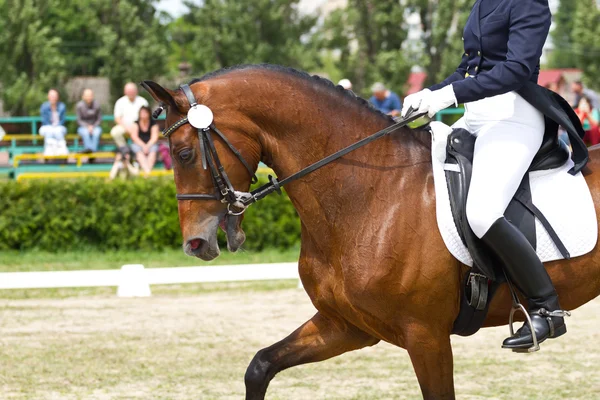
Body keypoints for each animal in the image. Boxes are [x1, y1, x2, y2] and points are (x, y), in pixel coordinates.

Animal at [142, 64, 600, 398]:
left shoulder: (426, 337)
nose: (195, 243)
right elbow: (260, 366)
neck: (372, 192)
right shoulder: (347, 326)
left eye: (183, 153)